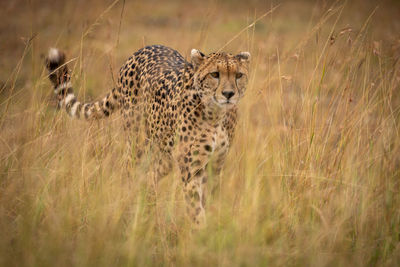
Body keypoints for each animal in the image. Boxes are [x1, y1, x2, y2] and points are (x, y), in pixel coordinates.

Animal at [46, 45, 250, 227]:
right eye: (215, 74)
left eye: (239, 75)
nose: (229, 94)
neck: (216, 114)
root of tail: (139, 51)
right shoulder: (191, 169)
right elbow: (196, 208)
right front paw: (200, 233)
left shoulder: (215, 165)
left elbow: (207, 201)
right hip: (137, 144)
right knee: (130, 172)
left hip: (165, 154)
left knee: (151, 175)